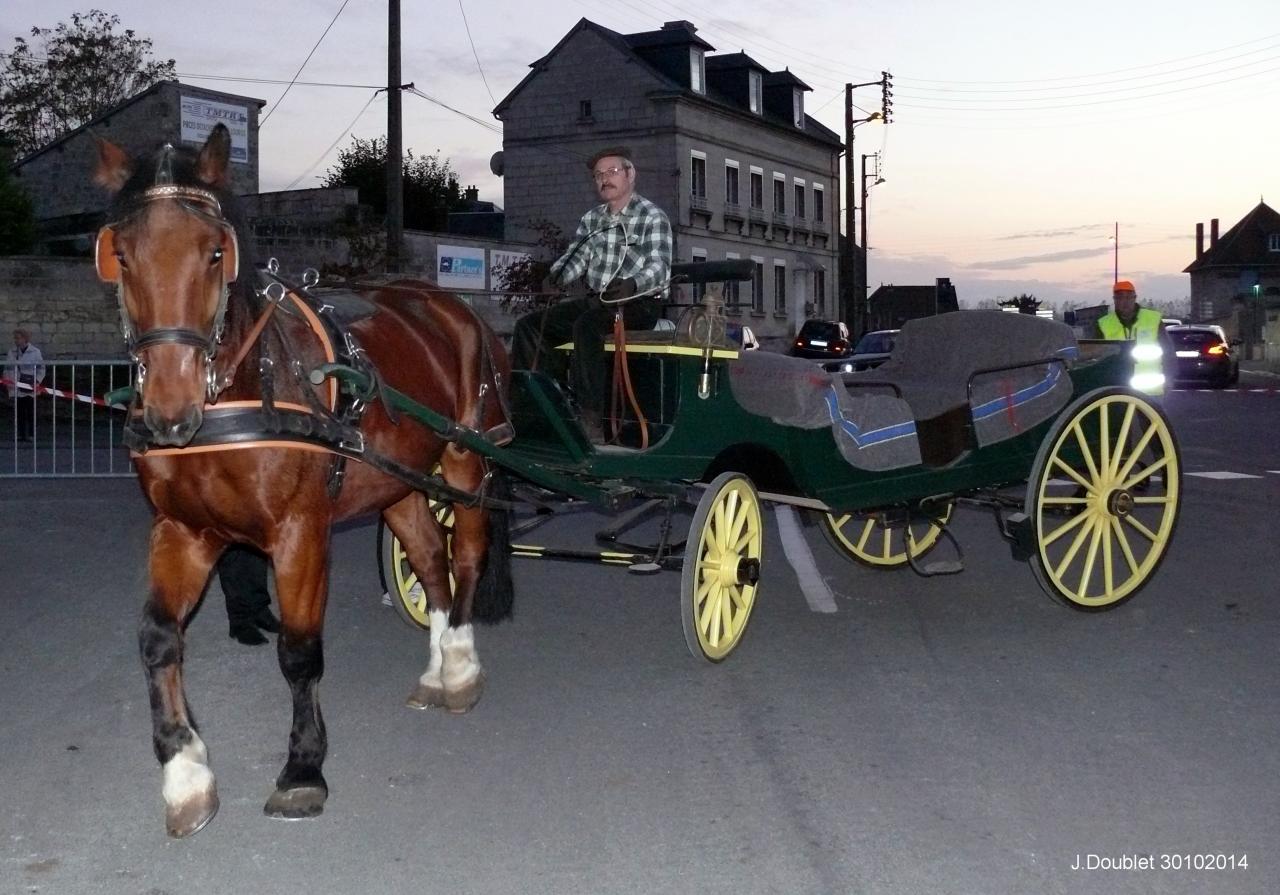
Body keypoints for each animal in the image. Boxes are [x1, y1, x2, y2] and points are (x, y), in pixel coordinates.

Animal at [92, 126, 512, 839]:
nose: (172, 409)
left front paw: (302, 769)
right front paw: (185, 775)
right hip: (396, 485)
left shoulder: (299, 533)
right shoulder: (184, 530)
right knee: (430, 560)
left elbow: (298, 652)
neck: (238, 392)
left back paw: (459, 666)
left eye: (215, 252)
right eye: (120, 254)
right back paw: (436, 670)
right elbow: (157, 638)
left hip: (465, 459)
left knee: (468, 556)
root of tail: (450, 304)